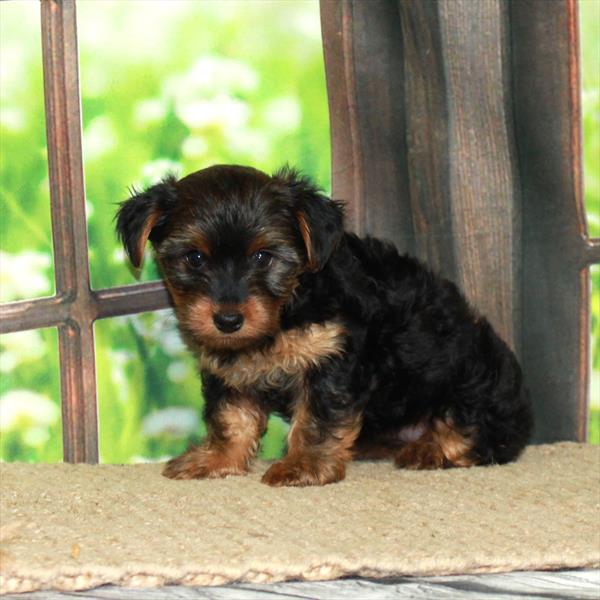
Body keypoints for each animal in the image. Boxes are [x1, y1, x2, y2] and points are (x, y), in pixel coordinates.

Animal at [117, 164, 536, 488]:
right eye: (195, 258)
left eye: (262, 257)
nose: (228, 320)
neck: (285, 312)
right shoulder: (227, 365)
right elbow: (231, 414)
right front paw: (218, 457)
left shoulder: (332, 356)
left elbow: (318, 416)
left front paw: (305, 465)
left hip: (474, 376)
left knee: (477, 430)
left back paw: (432, 447)